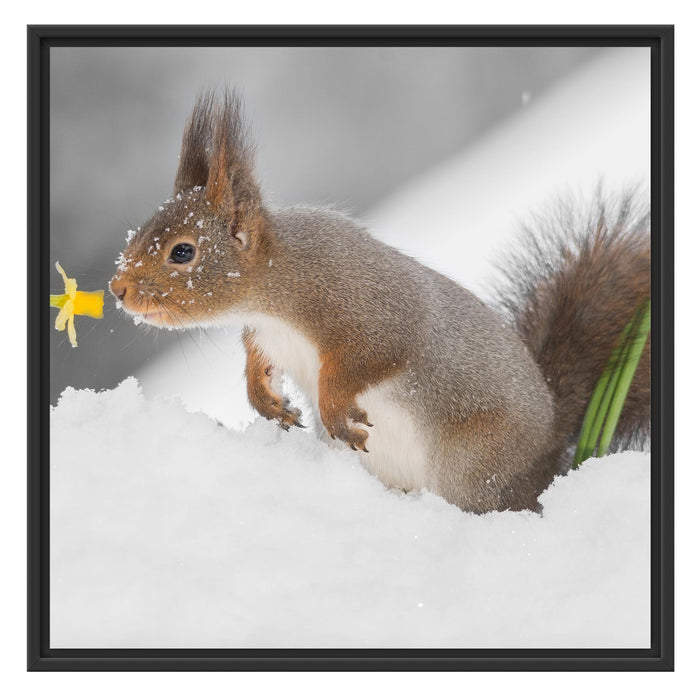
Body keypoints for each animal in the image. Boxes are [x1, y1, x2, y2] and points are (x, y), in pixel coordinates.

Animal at [109, 90, 650, 514]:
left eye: (183, 251)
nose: (118, 289)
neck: (275, 289)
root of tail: (552, 453)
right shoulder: (266, 337)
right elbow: (258, 367)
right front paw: (268, 404)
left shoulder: (369, 309)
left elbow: (371, 357)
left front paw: (332, 407)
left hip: (476, 466)